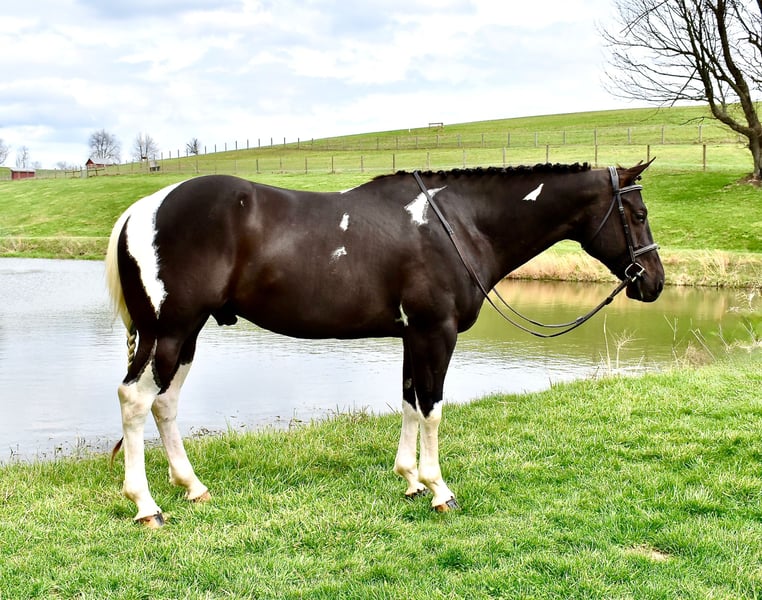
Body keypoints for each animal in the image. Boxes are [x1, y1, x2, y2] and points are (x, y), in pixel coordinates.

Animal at [105, 162, 664, 527]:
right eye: (637, 214)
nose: (654, 282)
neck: (456, 224)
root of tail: (141, 210)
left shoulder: (412, 336)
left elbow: (410, 402)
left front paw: (410, 480)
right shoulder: (435, 332)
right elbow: (433, 407)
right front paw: (439, 490)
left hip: (186, 334)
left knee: (166, 404)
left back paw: (192, 487)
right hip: (168, 331)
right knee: (135, 401)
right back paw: (146, 506)